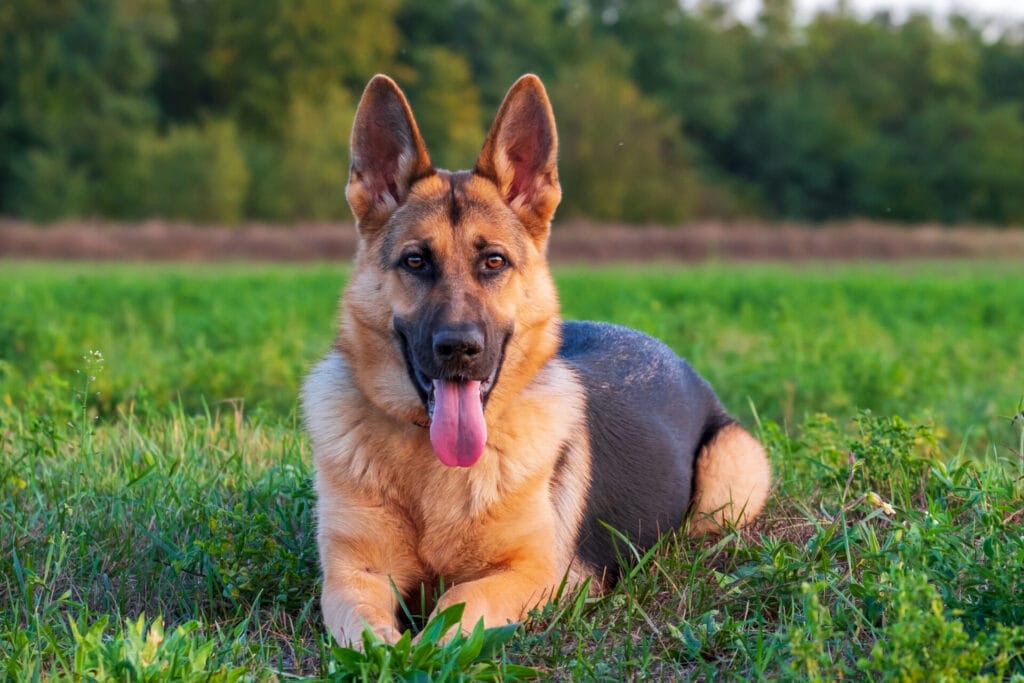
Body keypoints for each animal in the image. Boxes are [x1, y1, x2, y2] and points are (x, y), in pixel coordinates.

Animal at [299, 74, 770, 647]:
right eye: (415, 261)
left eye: (493, 261)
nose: (459, 348)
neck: (430, 467)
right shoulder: (352, 574)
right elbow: (367, 632)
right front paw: (392, 652)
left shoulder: (540, 574)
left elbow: (459, 601)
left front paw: (428, 647)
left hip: (727, 484)